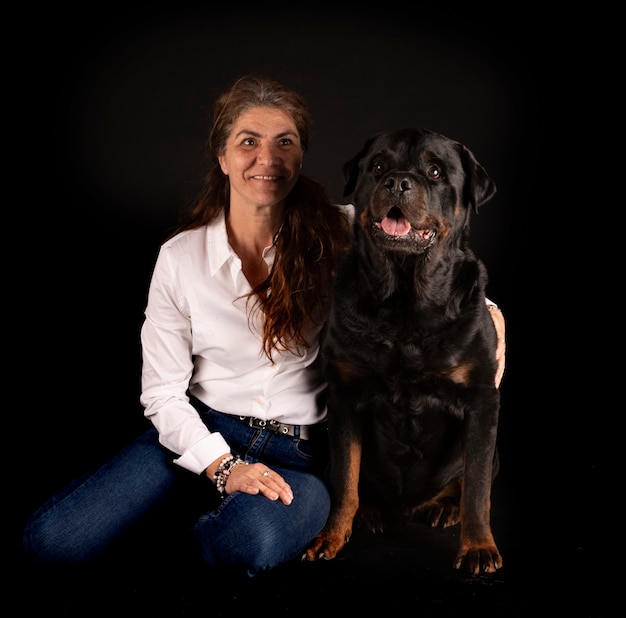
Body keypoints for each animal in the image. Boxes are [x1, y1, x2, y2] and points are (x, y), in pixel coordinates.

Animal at [302, 125, 502, 572]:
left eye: (435, 171)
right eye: (378, 166)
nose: (397, 182)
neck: (405, 301)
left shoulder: (482, 398)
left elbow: (478, 487)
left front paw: (478, 545)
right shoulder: (344, 397)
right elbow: (345, 477)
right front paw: (332, 534)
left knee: (465, 480)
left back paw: (444, 507)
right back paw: (371, 510)